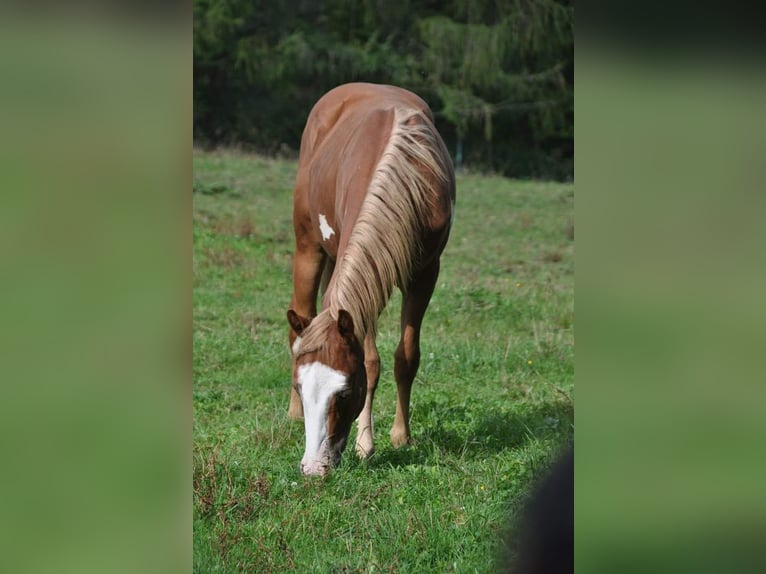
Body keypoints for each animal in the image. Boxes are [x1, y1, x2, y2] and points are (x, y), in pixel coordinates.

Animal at [288, 81, 456, 476]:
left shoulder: (425, 273)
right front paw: (366, 444)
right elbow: (369, 360)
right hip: (308, 245)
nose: (313, 469)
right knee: (299, 315)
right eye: (300, 387)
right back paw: (291, 415)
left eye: (346, 392)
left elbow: (406, 357)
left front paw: (400, 437)